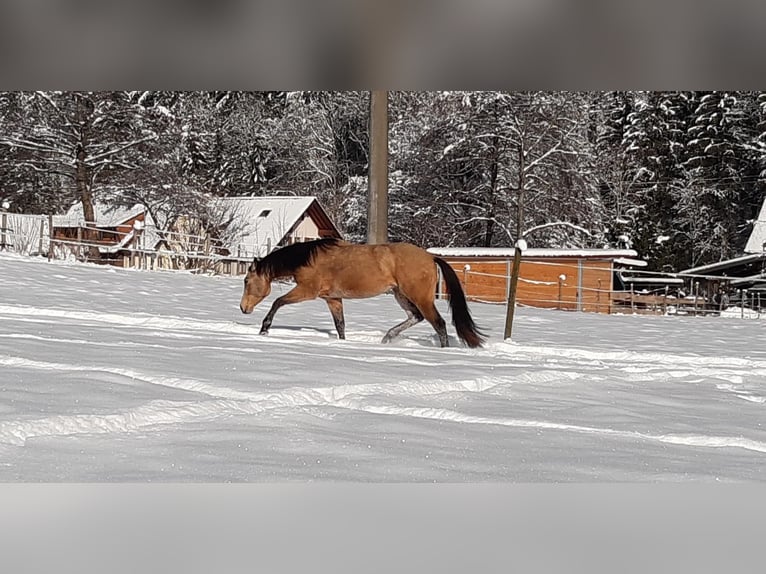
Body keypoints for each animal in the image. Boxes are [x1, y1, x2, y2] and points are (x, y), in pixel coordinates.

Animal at [240, 237, 486, 348]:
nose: (243, 308)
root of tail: (431, 257)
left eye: (246, 280)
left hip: (420, 297)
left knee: (438, 323)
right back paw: (387, 338)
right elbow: (340, 325)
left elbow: (277, 302)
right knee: (416, 317)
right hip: (400, 295)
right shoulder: (332, 298)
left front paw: (264, 329)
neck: (308, 259)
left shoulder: (306, 291)